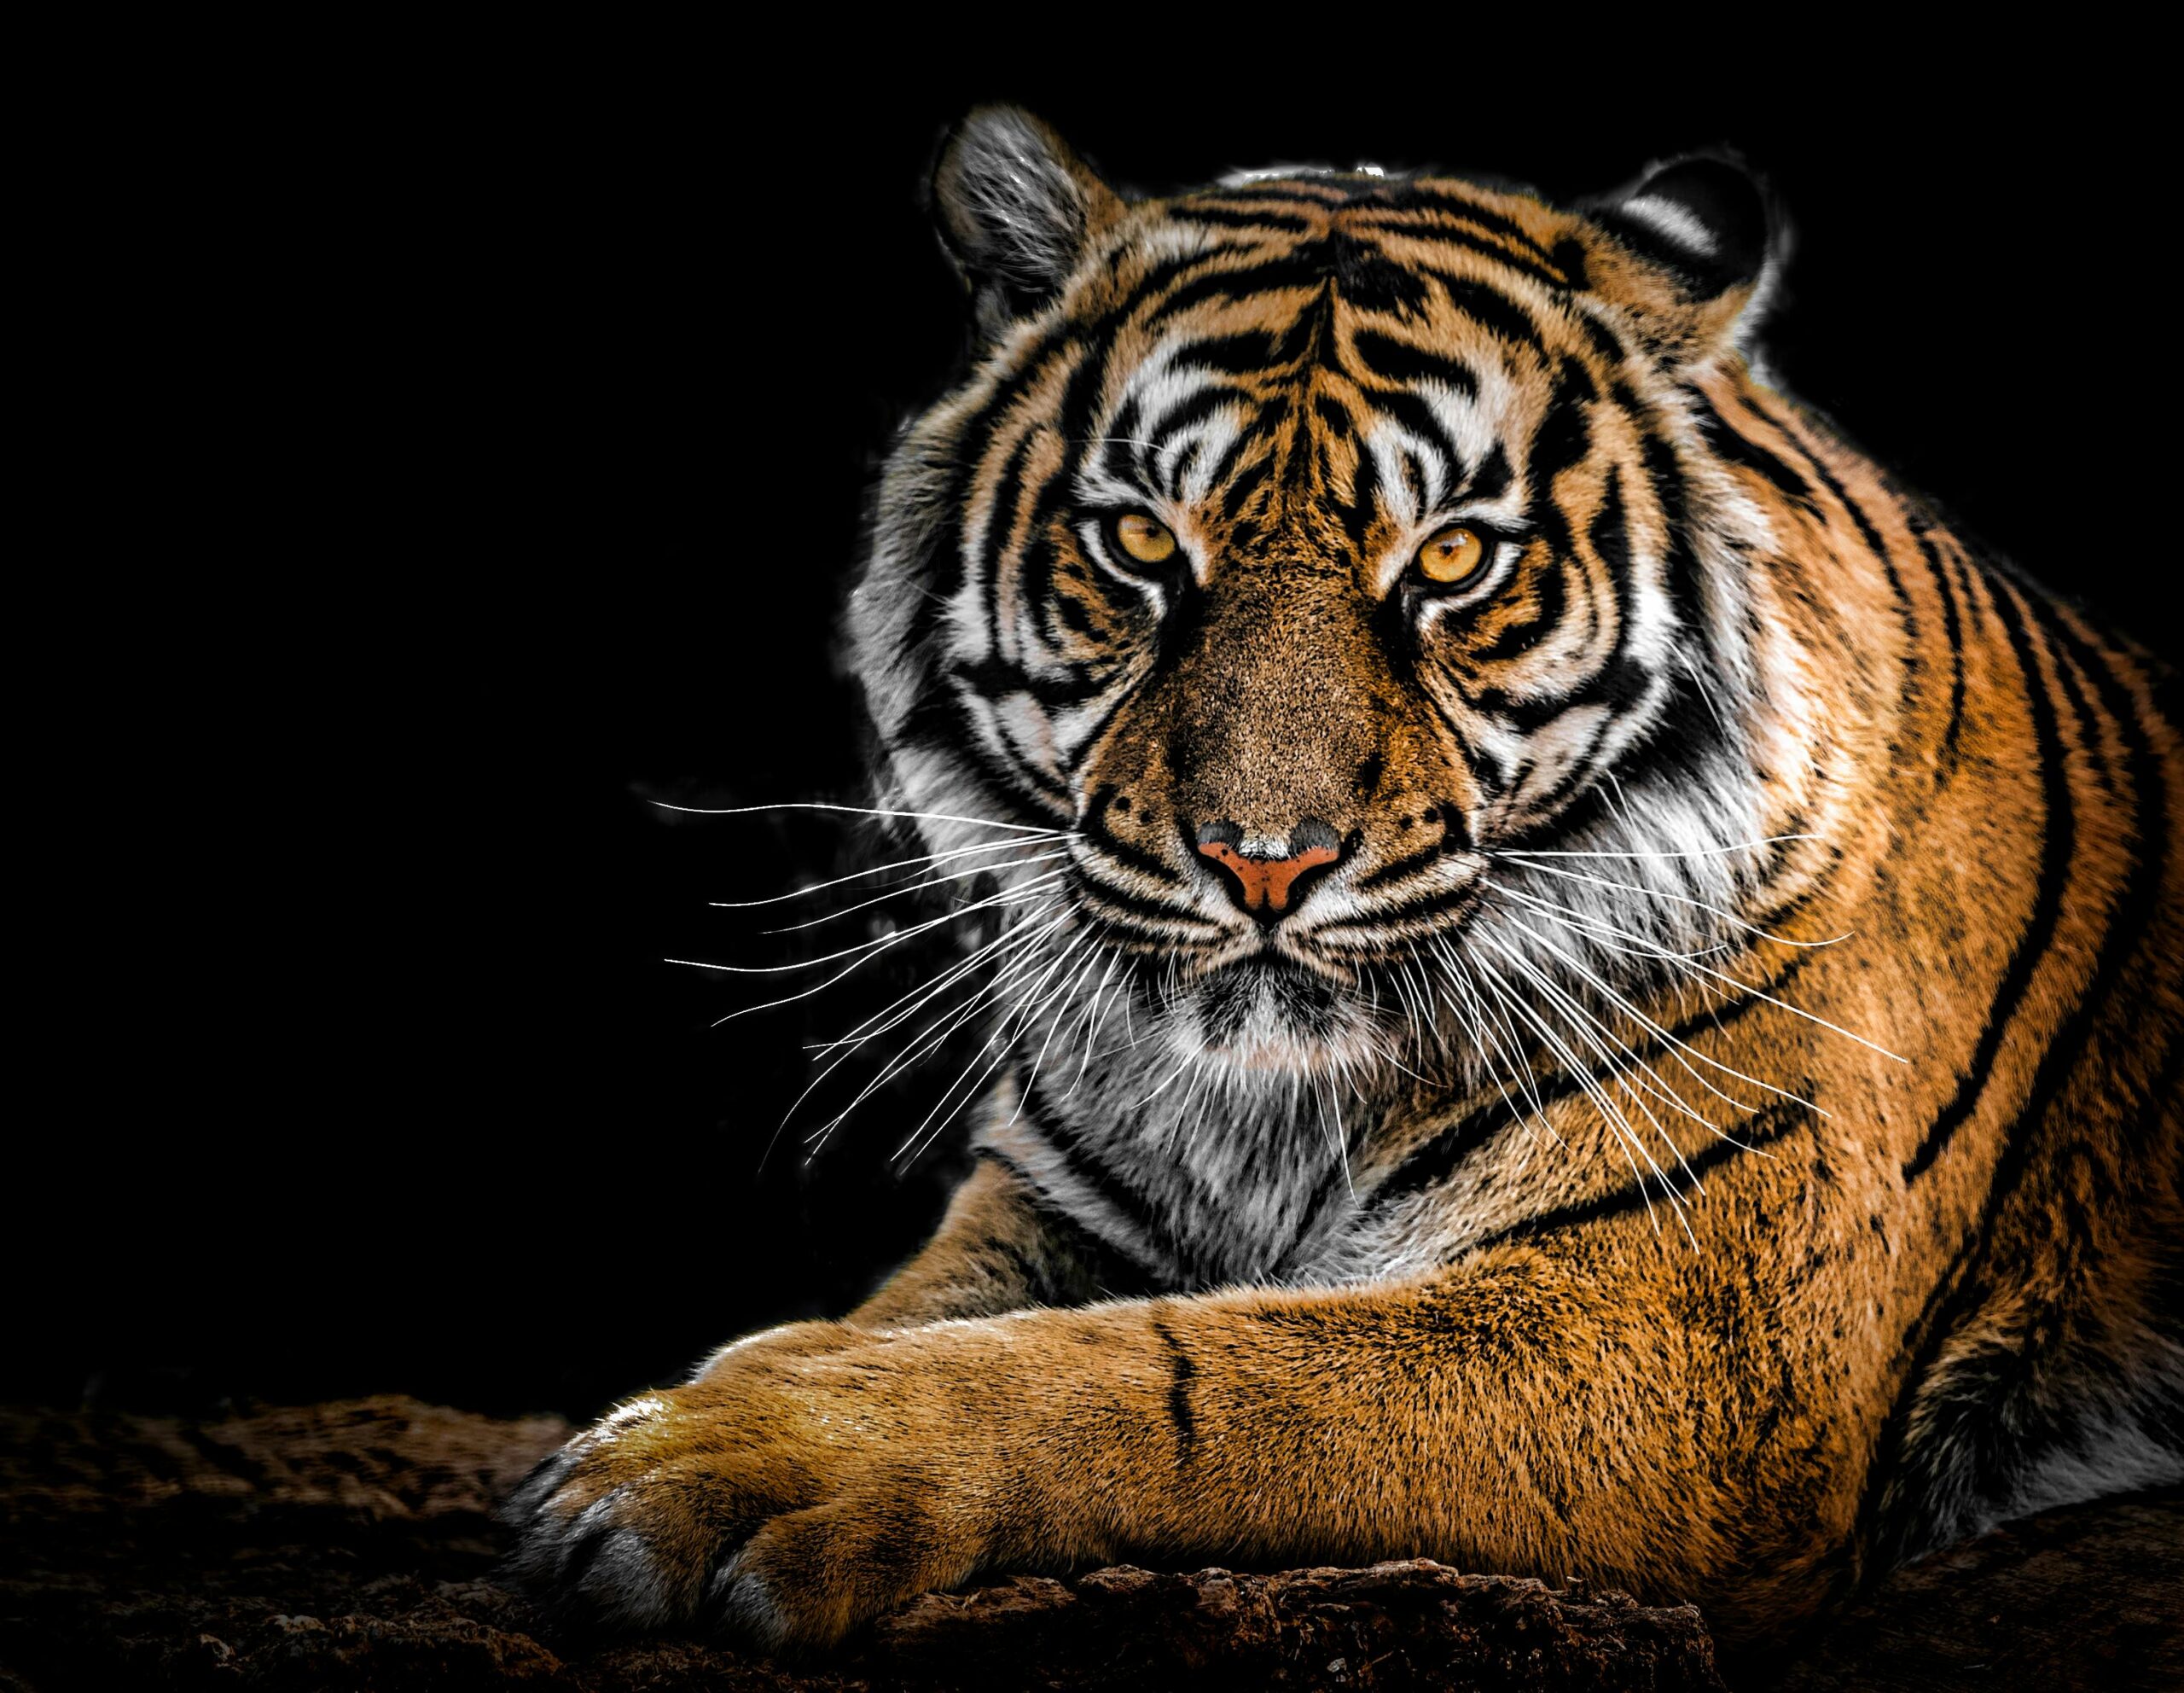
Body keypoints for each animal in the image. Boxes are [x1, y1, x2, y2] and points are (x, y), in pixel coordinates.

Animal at [502, 106, 2175, 1651]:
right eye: (1137, 544)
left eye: (1450, 561)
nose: (1266, 862)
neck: (1270, 1113)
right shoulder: (1049, 1205)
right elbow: (908, 1319)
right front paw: (697, 1411)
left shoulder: (1683, 1343)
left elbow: (1178, 1374)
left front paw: (723, 1464)